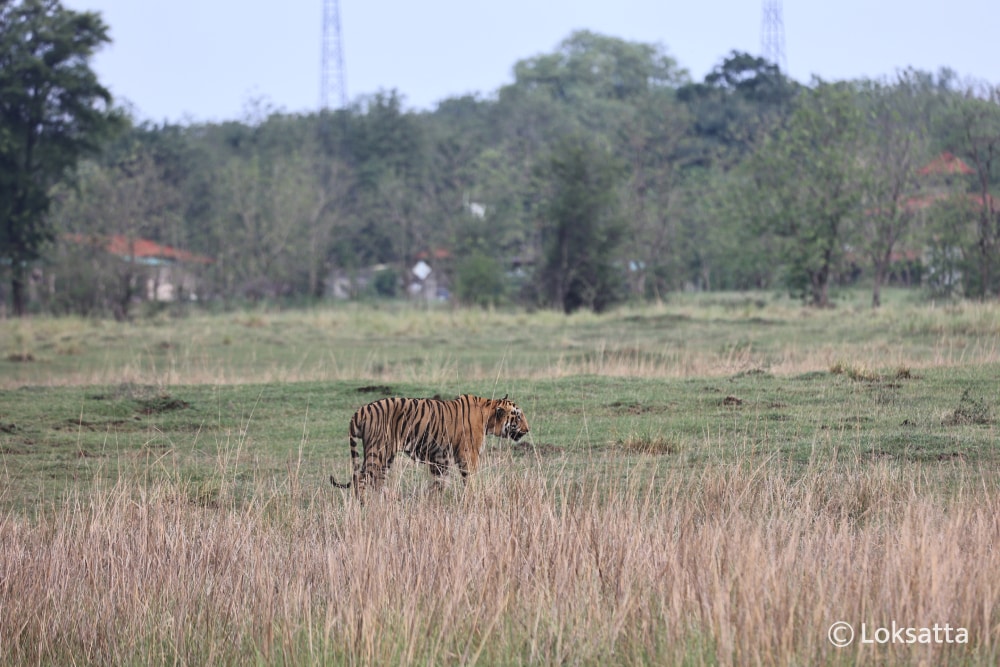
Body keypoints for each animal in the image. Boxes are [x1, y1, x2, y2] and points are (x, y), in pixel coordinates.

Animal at [330, 392, 532, 500]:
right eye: (518, 416)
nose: (528, 429)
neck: (488, 416)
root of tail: (360, 411)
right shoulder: (468, 454)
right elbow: (470, 478)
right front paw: (473, 496)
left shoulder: (440, 457)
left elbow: (440, 481)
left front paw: (432, 498)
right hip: (378, 451)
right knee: (362, 478)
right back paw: (364, 505)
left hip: (385, 455)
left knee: (375, 479)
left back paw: (387, 500)